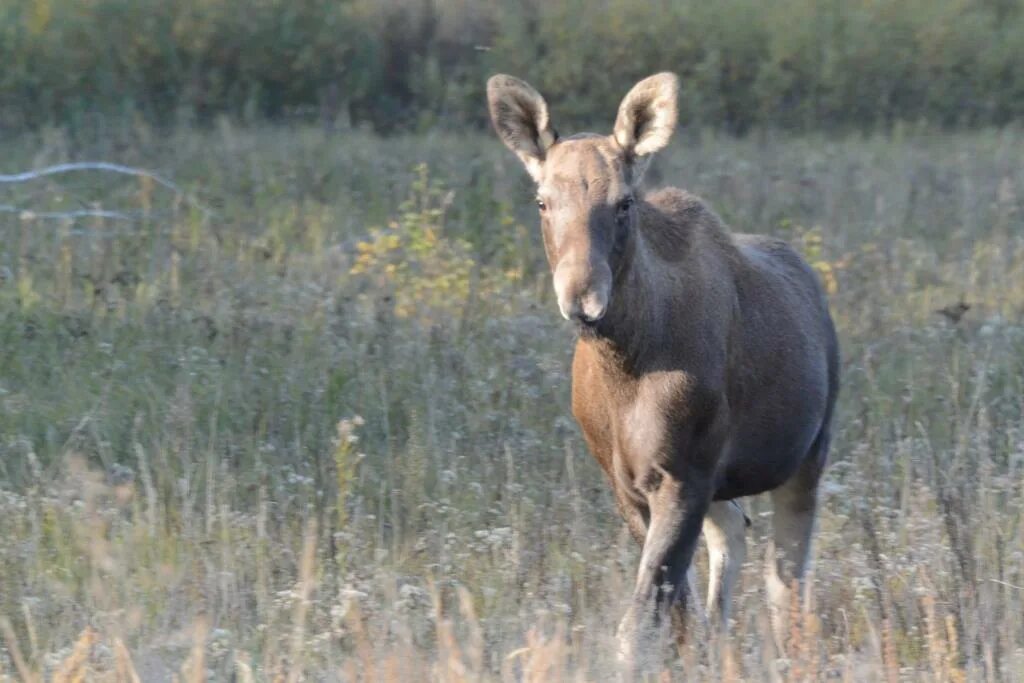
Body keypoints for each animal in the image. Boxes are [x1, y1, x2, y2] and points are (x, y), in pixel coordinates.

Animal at [487, 73, 839, 667]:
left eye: (624, 202)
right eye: (541, 200)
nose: (582, 299)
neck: (626, 364)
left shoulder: (685, 473)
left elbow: (643, 619)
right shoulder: (626, 482)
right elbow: (674, 613)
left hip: (808, 454)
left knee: (787, 581)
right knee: (735, 532)